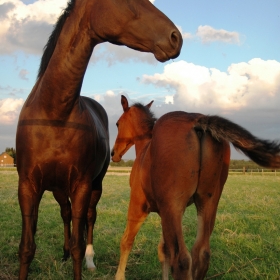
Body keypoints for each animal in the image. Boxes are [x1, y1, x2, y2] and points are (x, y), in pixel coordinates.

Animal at [15, 1, 182, 278]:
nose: (175, 38)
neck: (54, 113)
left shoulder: (82, 184)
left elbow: (78, 243)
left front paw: (82, 258)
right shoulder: (27, 185)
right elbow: (27, 246)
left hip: (94, 185)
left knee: (89, 218)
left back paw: (90, 259)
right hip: (58, 188)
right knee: (66, 214)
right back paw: (62, 252)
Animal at [110, 95, 280, 278]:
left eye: (118, 123)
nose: (114, 153)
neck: (145, 150)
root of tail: (197, 120)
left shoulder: (138, 206)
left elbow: (127, 241)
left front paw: (119, 276)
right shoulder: (165, 213)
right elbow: (163, 250)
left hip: (173, 206)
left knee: (182, 259)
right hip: (207, 203)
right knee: (201, 253)